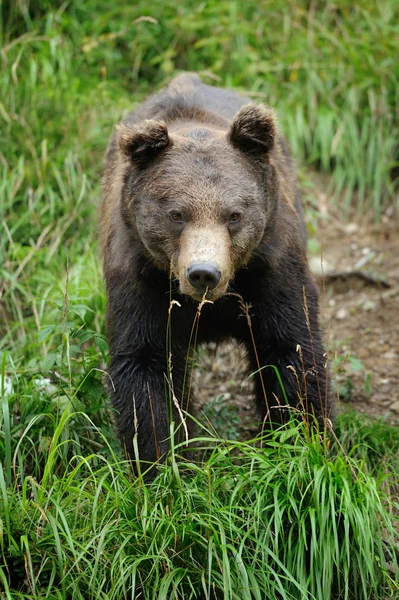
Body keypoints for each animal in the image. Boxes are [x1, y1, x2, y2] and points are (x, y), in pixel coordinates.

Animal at [101, 74, 332, 468]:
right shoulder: (142, 276)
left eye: (234, 215)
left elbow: (291, 350)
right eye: (176, 214)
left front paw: (302, 441)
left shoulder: (270, 268)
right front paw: (163, 461)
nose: (203, 273)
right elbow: (146, 367)